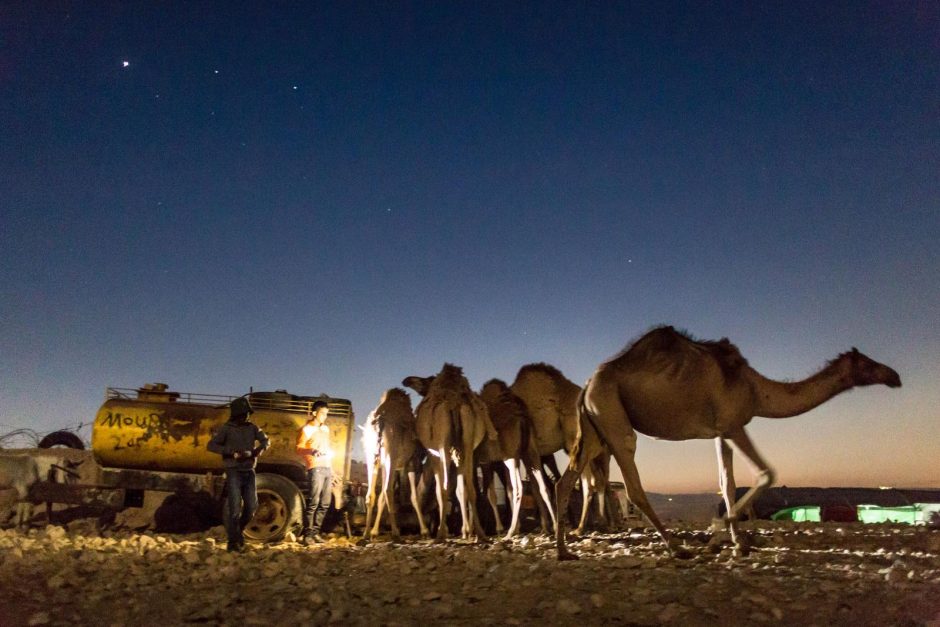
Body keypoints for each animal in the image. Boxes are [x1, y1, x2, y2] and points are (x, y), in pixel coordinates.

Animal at [360, 388, 430, 544]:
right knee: (388, 491)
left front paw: (374, 532)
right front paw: (424, 531)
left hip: (372, 458)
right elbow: (414, 497)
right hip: (390, 456)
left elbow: (380, 499)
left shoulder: (386, 466)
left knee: (371, 494)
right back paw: (396, 534)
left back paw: (365, 534)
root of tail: (378, 420)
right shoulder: (411, 463)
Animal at [516, 364, 616, 536]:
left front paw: (547, 526)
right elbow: (536, 487)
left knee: (590, 484)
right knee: (601, 481)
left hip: (579, 446)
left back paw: (582, 527)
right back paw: (603, 523)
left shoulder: (529, 450)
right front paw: (545, 526)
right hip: (594, 453)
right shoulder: (540, 454)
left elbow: (538, 487)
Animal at [560, 326, 904, 560]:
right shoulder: (734, 424)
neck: (755, 389)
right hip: (613, 416)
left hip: (595, 427)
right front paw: (716, 531)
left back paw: (564, 551)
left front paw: (737, 542)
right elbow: (766, 473)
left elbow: (727, 483)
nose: (895, 376)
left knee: (566, 483)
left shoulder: (720, 432)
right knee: (631, 483)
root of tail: (587, 386)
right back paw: (675, 547)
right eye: (867, 363)